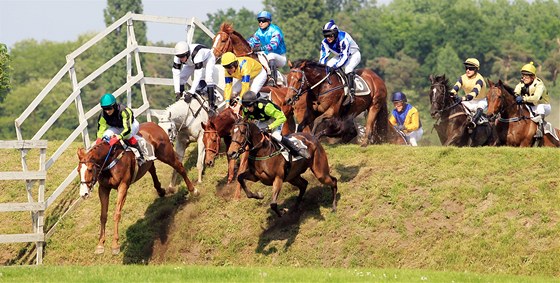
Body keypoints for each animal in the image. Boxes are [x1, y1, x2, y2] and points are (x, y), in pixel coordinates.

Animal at [76, 123, 199, 256]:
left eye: (89, 169)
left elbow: (117, 214)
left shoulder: (123, 186)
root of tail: (155, 124)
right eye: (78, 170)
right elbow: (103, 215)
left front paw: (115, 245)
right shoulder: (103, 189)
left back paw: (193, 190)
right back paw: (160, 190)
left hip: (166, 154)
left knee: (179, 167)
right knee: (152, 168)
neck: (110, 160)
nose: (83, 193)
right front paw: (100, 244)